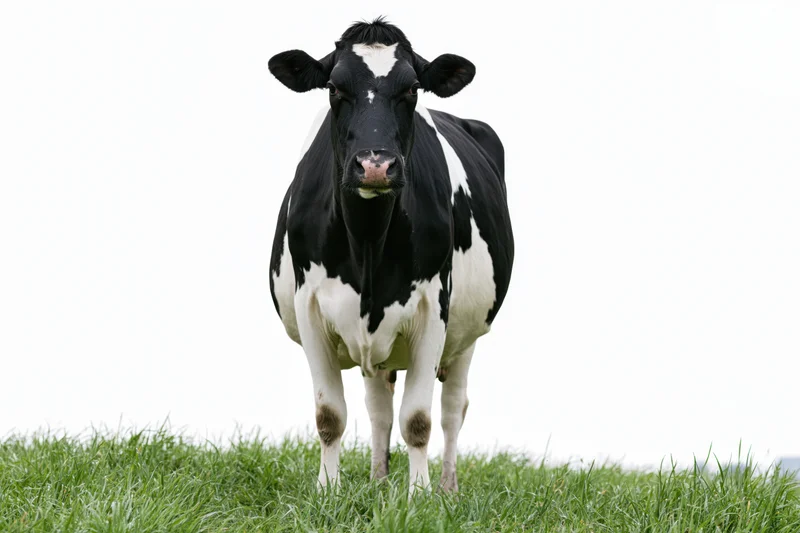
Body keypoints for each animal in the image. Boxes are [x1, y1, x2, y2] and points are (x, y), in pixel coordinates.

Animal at [267, 17, 514, 494]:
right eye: (334, 88)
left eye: (412, 89)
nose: (375, 165)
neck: (368, 243)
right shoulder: (310, 309)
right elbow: (330, 416)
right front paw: (328, 491)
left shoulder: (433, 309)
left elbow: (418, 420)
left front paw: (419, 496)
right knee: (378, 406)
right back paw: (378, 480)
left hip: (467, 335)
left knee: (453, 410)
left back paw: (447, 488)